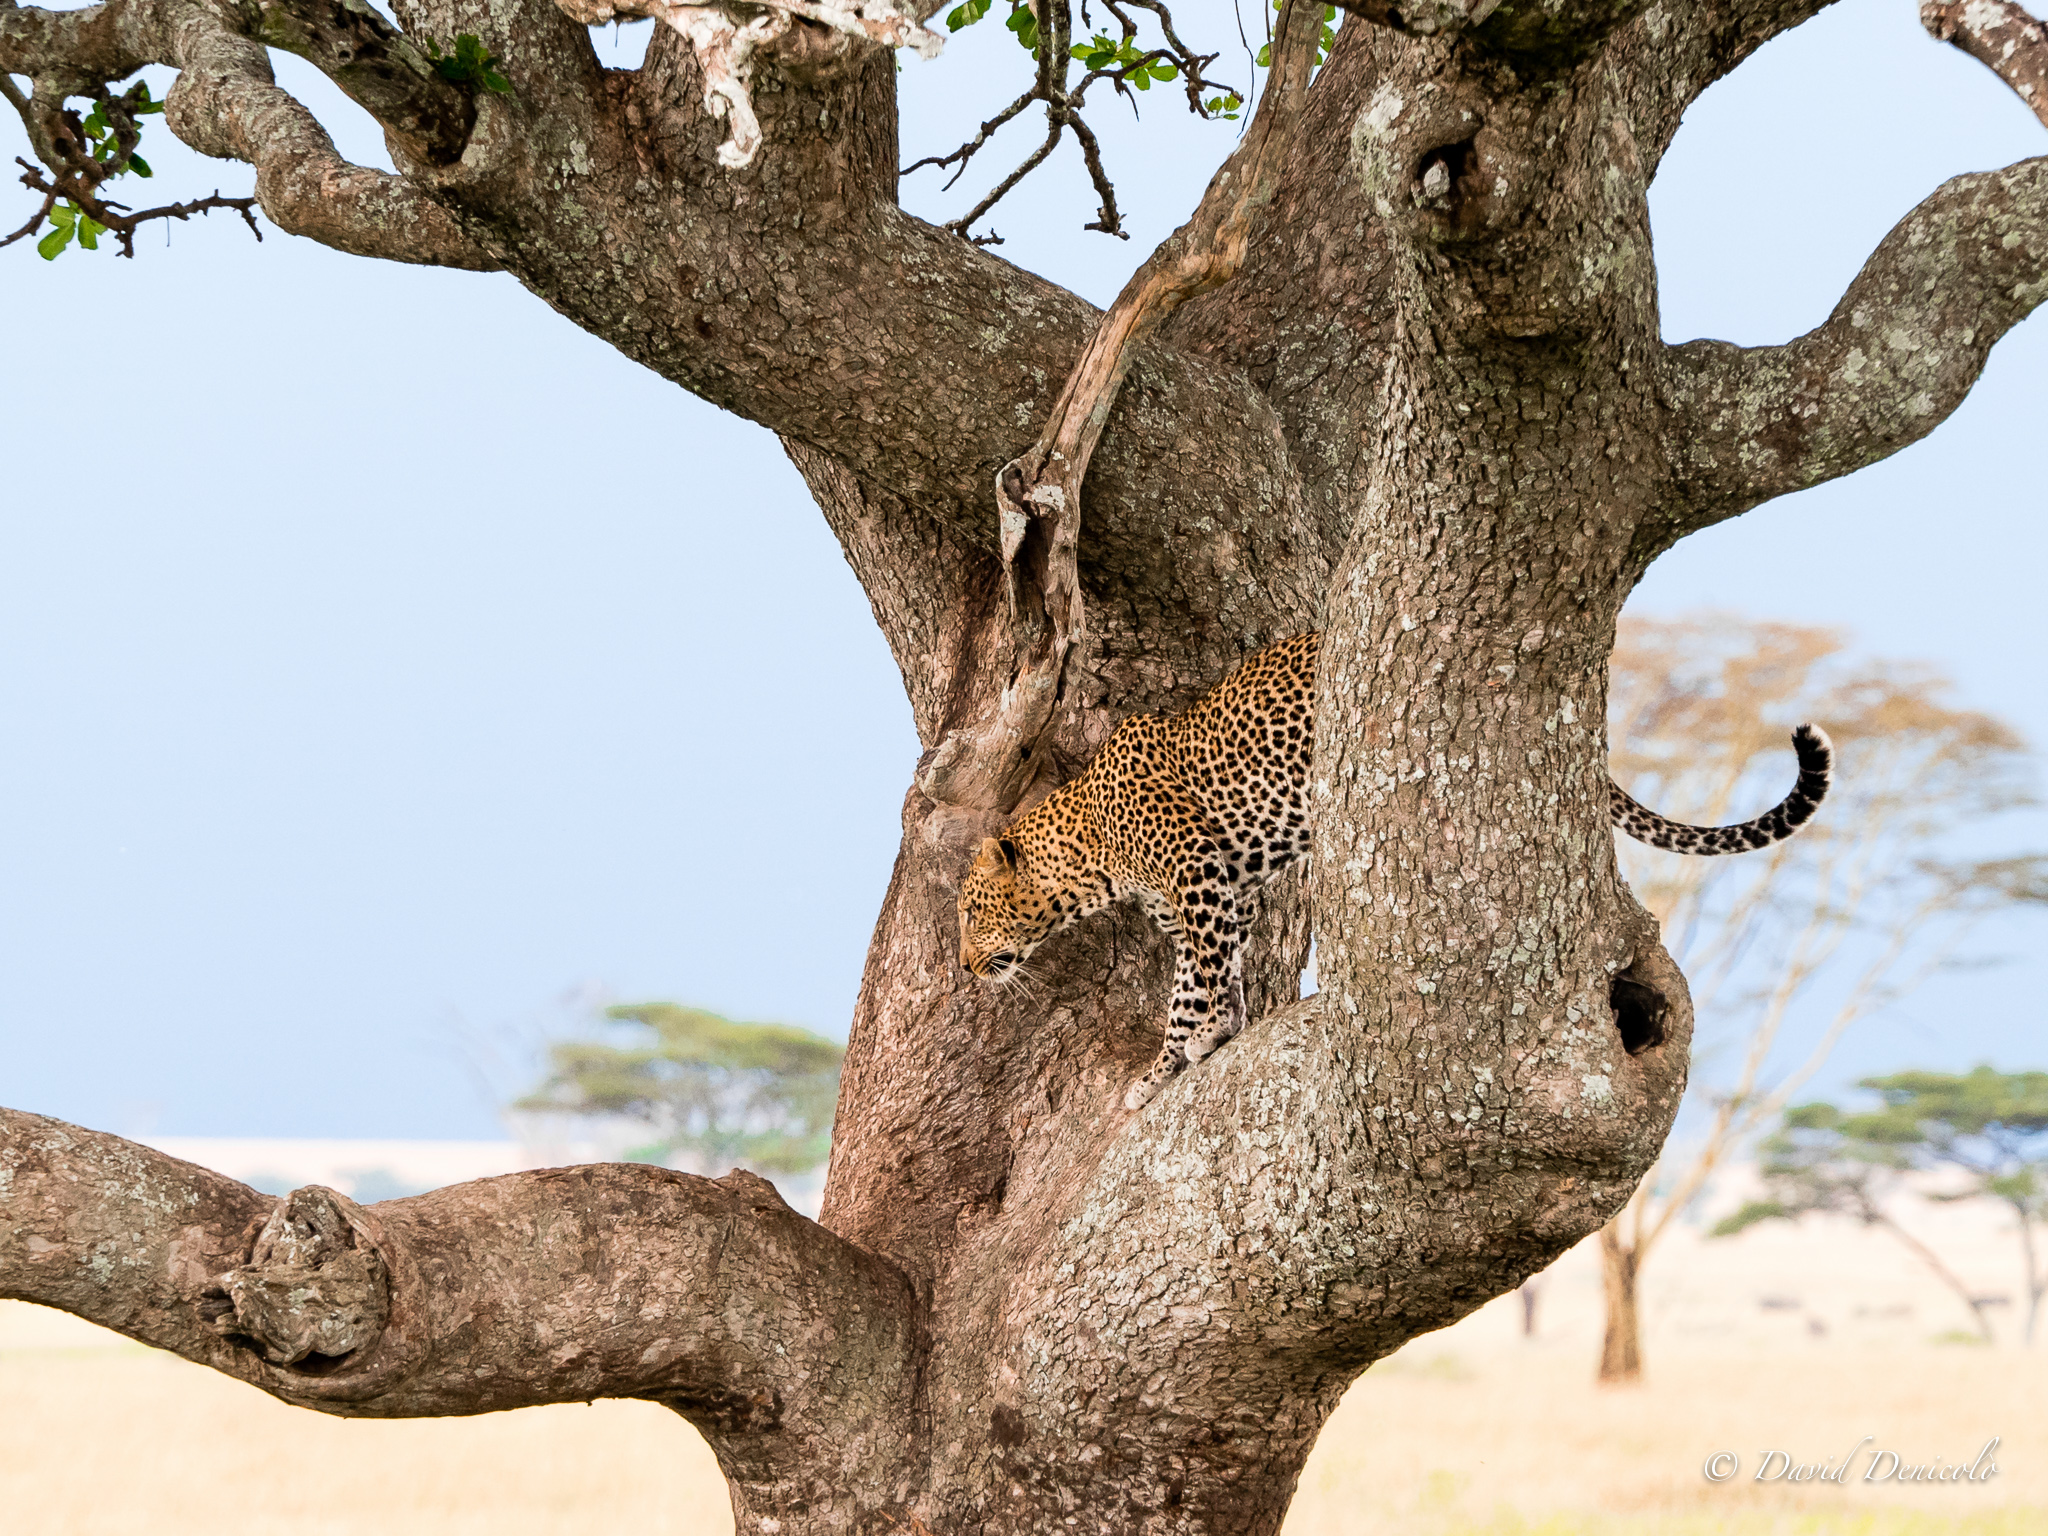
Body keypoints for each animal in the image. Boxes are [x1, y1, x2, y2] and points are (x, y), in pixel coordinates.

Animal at [957, 630, 1835, 1111]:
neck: (1087, 854)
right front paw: (1217, 1034)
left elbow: (1189, 989)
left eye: (968, 912)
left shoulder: (1201, 881)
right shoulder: (1220, 894)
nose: (964, 969)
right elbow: (1216, 973)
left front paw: (1170, 1062)